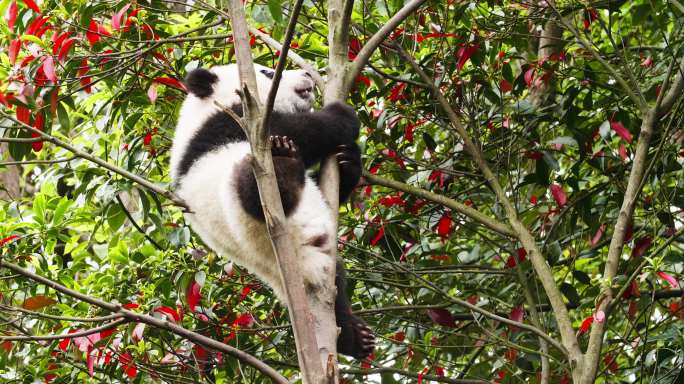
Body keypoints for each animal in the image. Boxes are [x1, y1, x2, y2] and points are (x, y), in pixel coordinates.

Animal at [170, 63, 374, 360]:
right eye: (266, 72)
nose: (307, 75)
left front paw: (348, 161)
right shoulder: (235, 122)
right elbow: (303, 130)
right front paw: (342, 113)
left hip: (320, 263)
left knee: (336, 287)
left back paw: (356, 338)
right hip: (242, 195)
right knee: (250, 181)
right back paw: (283, 166)